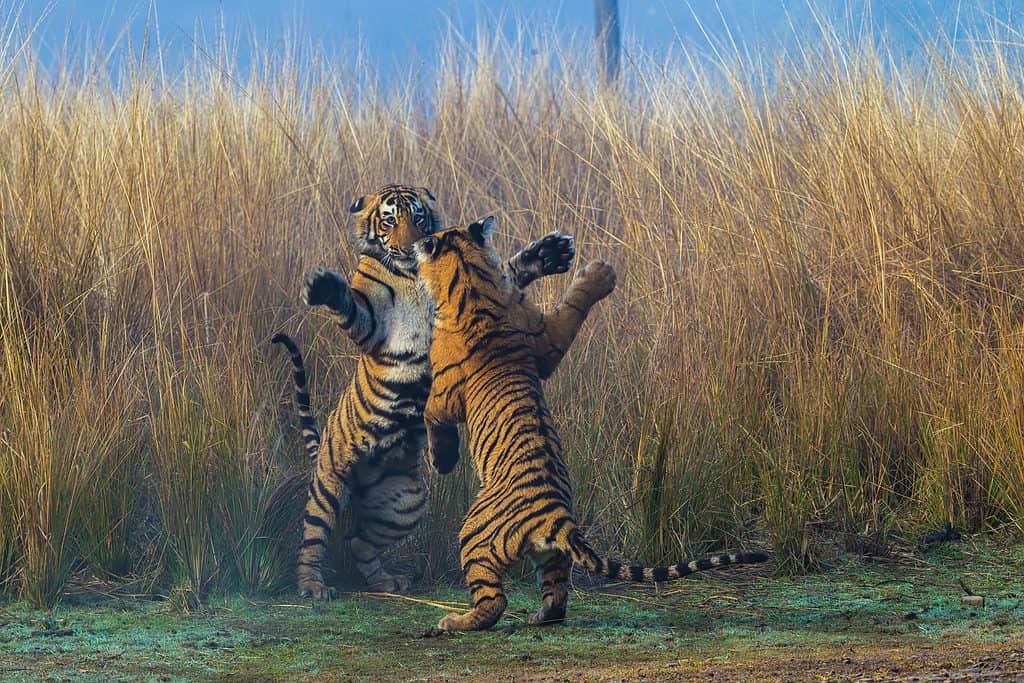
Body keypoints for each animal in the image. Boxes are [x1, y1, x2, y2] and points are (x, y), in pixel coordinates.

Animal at [276, 185, 589, 598]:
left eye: (419, 218)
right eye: (389, 220)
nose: (411, 247)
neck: (413, 274)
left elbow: (505, 271)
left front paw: (549, 253)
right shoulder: (373, 325)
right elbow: (352, 309)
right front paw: (325, 287)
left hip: (405, 502)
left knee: (358, 542)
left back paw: (388, 581)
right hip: (330, 482)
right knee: (312, 538)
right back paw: (312, 585)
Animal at [413, 218, 770, 630]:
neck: (474, 283)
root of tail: (555, 515)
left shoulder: (444, 393)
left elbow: (432, 417)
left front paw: (441, 461)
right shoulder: (544, 340)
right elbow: (567, 304)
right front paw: (593, 273)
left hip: (474, 535)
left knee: (494, 601)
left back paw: (454, 622)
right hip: (550, 556)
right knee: (556, 595)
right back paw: (539, 616)